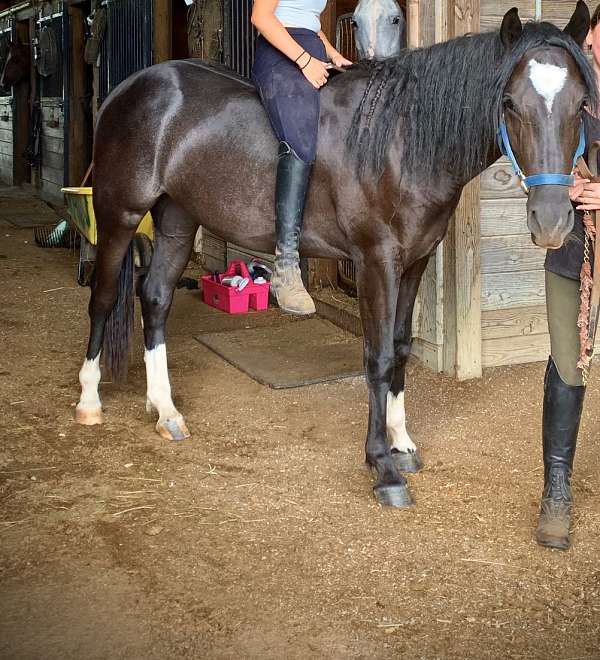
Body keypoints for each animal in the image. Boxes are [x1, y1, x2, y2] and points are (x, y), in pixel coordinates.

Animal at [75, 5, 596, 508]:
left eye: (581, 104)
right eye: (509, 103)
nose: (553, 221)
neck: (399, 139)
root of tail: (131, 87)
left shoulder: (415, 261)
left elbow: (401, 347)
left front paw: (401, 442)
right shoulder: (375, 262)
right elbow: (378, 357)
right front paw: (382, 466)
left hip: (178, 221)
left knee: (155, 298)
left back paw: (165, 410)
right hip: (119, 214)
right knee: (103, 297)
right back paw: (89, 400)